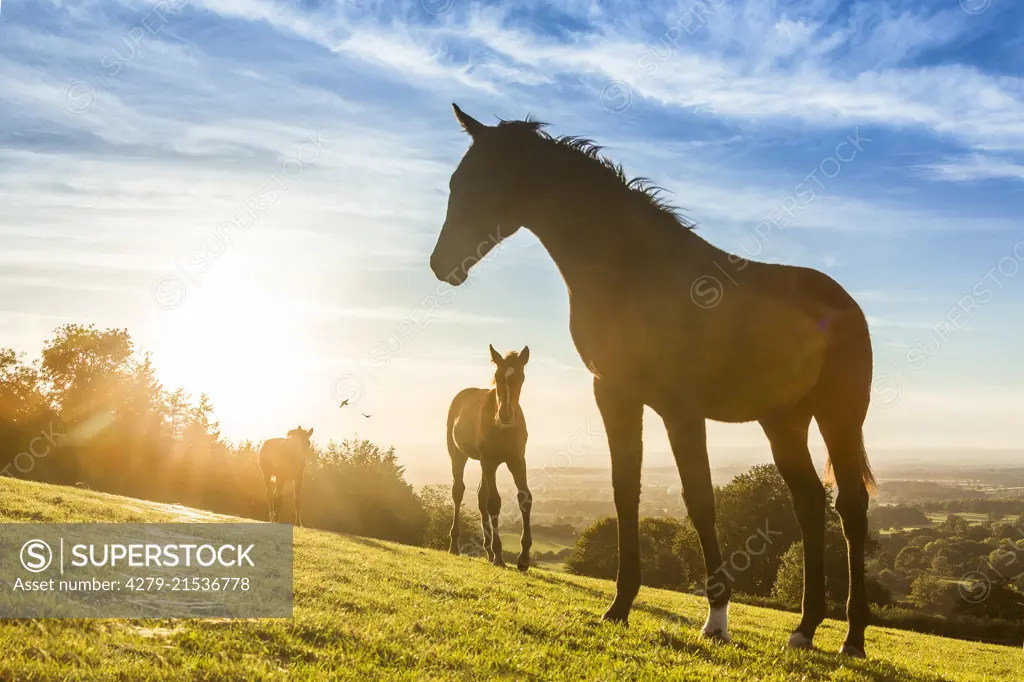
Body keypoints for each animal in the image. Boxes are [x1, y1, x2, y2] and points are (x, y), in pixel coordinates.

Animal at [444, 346, 532, 569]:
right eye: (497, 377)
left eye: (521, 378)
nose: (505, 414)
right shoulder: (489, 460)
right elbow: (494, 502)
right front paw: (499, 555)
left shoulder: (517, 459)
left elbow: (525, 498)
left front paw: (523, 558)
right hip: (459, 454)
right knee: (459, 491)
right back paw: (455, 545)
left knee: (480, 496)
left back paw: (488, 550)